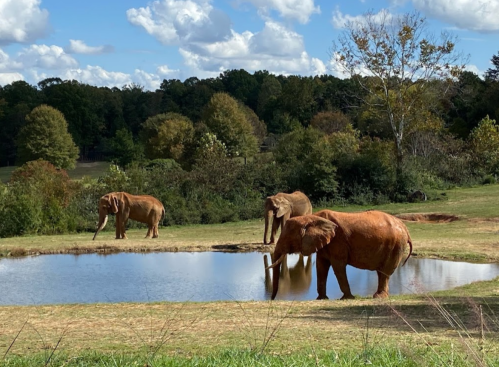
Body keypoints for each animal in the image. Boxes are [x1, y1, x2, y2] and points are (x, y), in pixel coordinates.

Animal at [270, 210, 414, 302]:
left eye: (288, 238)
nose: (271, 299)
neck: (311, 217)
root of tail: (405, 227)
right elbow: (321, 266)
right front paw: (321, 299)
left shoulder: (338, 241)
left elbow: (338, 266)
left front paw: (347, 298)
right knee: (381, 272)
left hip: (395, 245)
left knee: (384, 272)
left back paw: (379, 297)